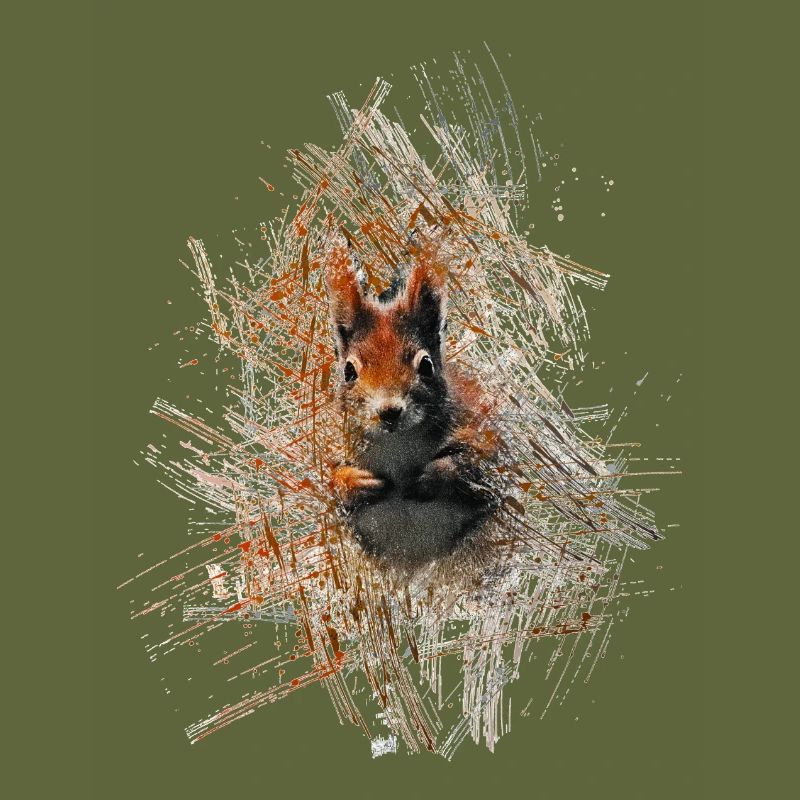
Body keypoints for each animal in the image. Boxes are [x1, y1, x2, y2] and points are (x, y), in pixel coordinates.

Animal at [324, 242, 502, 568]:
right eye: (348, 371)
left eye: (426, 365)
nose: (389, 411)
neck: (398, 445)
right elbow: (327, 482)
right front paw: (356, 482)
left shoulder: (483, 430)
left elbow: (480, 463)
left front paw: (433, 474)